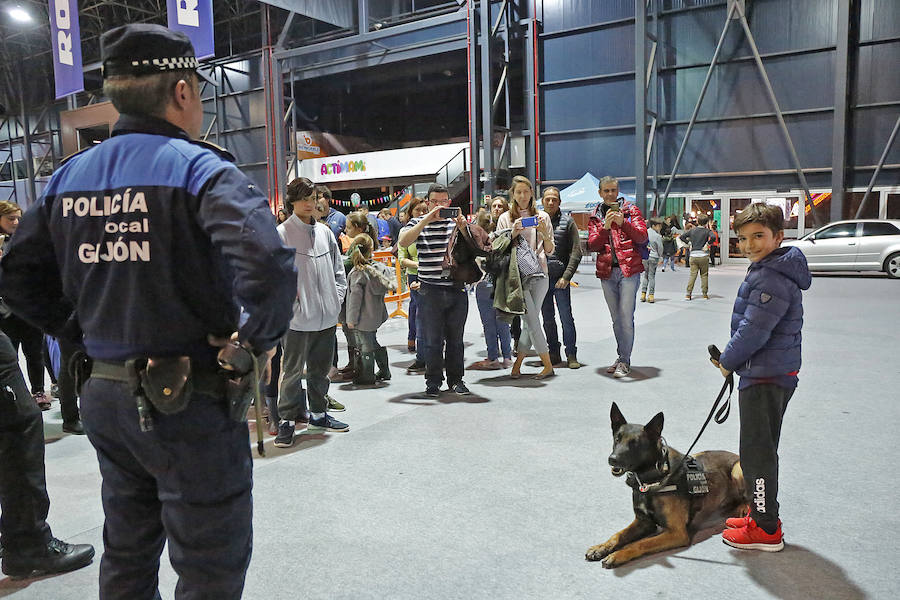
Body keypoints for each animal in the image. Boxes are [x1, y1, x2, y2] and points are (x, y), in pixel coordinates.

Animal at [584, 404, 744, 568]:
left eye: (635, 443)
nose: (612, 459)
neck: (650, 479)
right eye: (617, 439)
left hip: (737, 470)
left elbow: (641, 543)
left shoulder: (676, 533)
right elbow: (617, 535)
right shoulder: (644, 522)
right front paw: (601, 547)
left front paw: (618, 555)